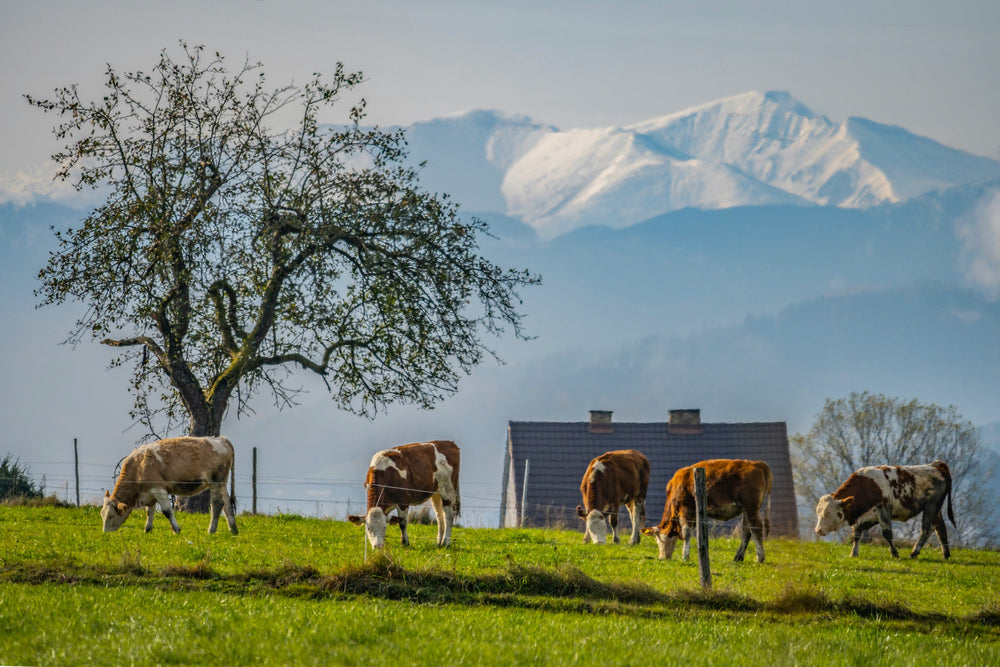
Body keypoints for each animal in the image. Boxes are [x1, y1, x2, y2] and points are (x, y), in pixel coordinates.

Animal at [100, 436, 239, 536]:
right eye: (101, 514)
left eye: (111, 515)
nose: (105, 534)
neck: (139, 466)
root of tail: (222, 439)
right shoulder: (149, 493)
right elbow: (149, 511)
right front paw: (147, 529)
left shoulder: (158, 489)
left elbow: (167, 511)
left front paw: (176, 530)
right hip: (222, 484)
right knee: (227, 504)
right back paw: (233, 530)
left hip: (215, 482)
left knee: (217, 504)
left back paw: (211, 530)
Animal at [640, 460, 772, 564]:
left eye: (657, 540)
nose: (662, 558)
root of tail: (757, 463)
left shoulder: (686, 509)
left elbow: (686, 533)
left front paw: (685, 556)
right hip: (746, 509)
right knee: (746, 530)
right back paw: (738, 557)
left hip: (750, 507)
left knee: (756, 527)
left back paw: (759, 558)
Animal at [812, 460, 952, 560]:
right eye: (817, 512)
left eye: (828, 513)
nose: (818, 530)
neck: (868, 486)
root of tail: (937, 465)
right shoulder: (864, 517)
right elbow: (856, 534)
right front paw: (854, 553)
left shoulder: (883, 510)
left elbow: (887, 534)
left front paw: (894, 553)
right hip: (936, 509)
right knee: (940, 528)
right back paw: (945, 554)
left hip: (931, 506)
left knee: (926, 529)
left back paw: (914, 552)